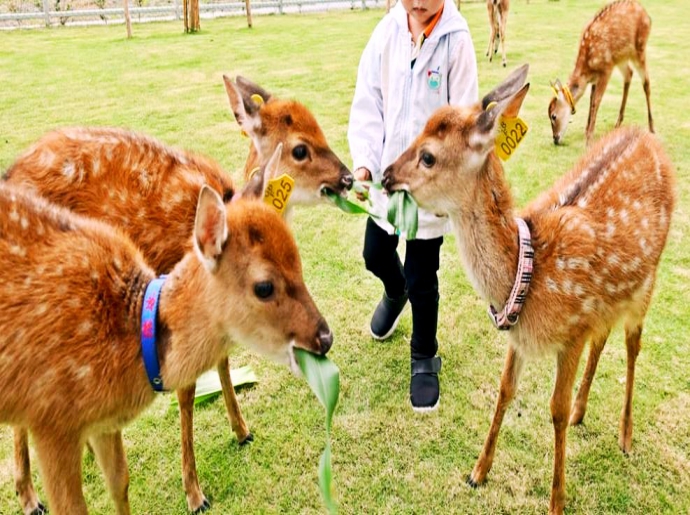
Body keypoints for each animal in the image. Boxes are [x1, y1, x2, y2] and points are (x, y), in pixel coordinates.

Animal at [2, 74, 350, 512]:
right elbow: (187, 393)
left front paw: (242, 429)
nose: (348, 178)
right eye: (301, 148)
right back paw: (30, 496)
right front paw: (194, 492)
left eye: (320, 128)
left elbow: (223, 361)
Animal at [384, 65, 676, 515]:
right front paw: (478, 472)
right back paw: (581, 412)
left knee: (632, 346)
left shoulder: (573, 332)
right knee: (605, 338)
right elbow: (505, 391)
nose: (385, 175)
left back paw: (625, 435)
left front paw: (557, 500)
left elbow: (553, 408)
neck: (529, 272)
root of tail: (650, 140)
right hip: (612, 299)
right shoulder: (522, 335)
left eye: (428, 155)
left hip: (647, 283)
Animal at [544, 0, 652, 145]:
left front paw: (589, 137)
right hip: (621, 57)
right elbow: (591, 99)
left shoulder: (606, 69)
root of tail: (646, 14)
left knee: (646, 82)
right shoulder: (595, 78)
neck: (587, 69)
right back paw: (618, 123)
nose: (555, 139)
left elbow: (596, 100)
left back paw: (652, 127)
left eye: (553, 116)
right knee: (629, 74)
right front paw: (586, 131)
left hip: (639, 48)